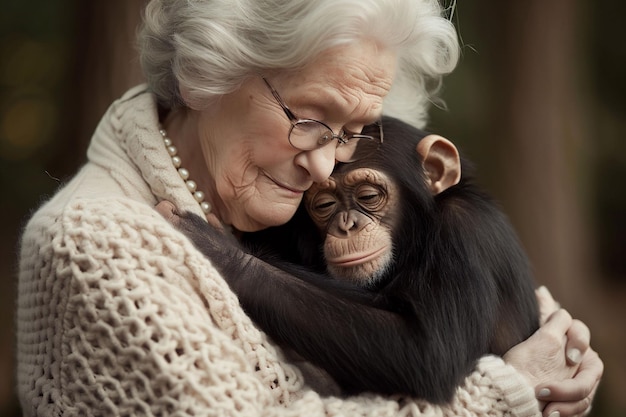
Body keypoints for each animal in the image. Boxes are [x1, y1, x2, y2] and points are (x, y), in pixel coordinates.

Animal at [169, 115, 536, 402]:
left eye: (369, 196)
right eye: (325, 204)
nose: (347, 225)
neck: (421, 230)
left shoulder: (464, 232)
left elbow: (429, 347)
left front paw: (219, 249)